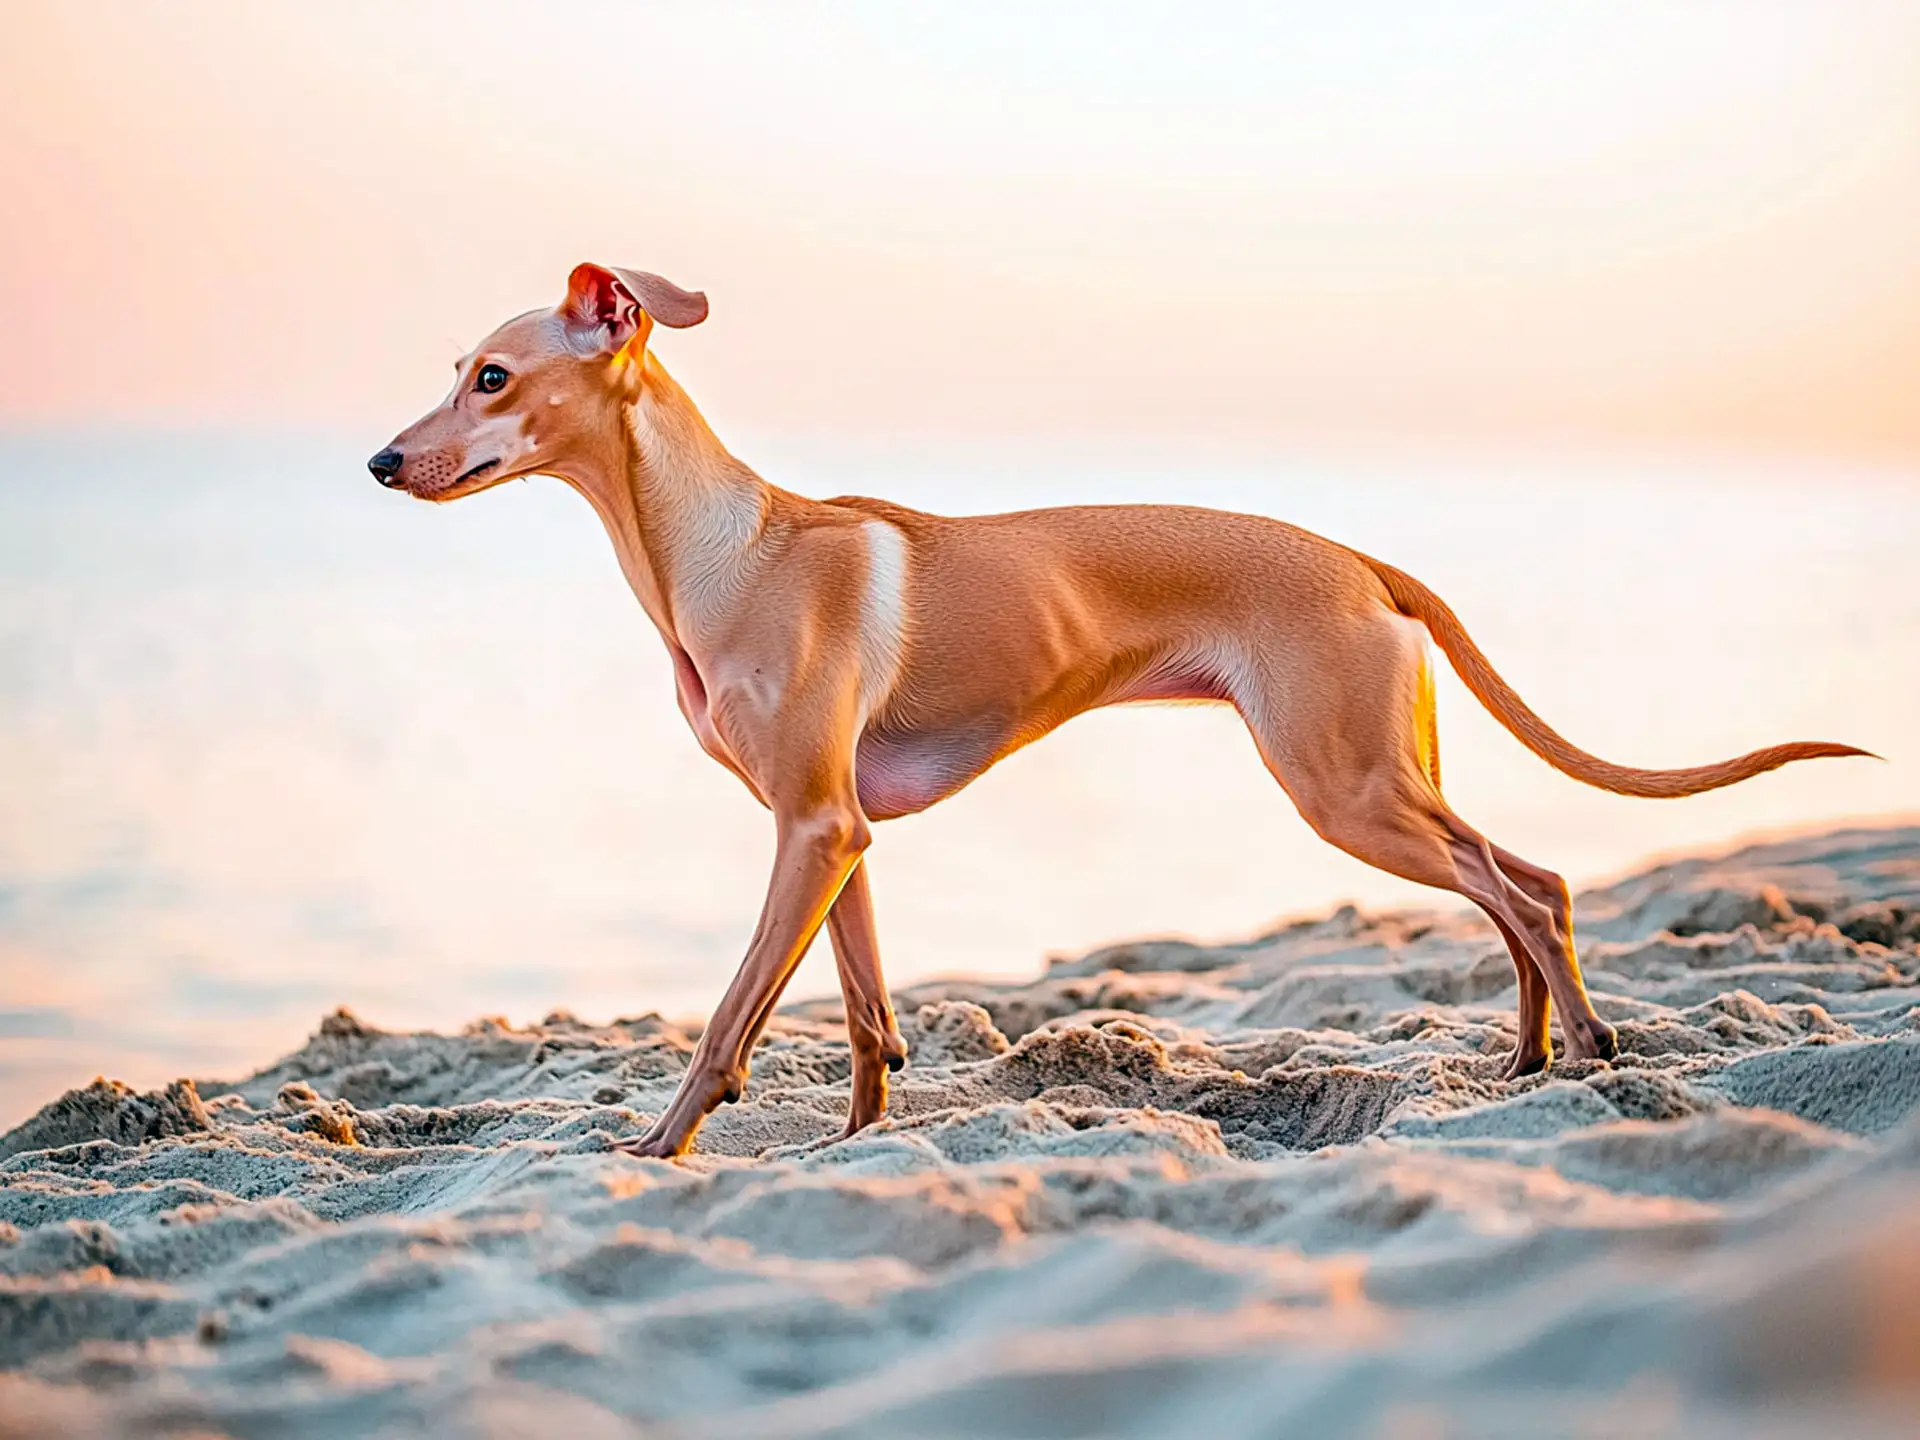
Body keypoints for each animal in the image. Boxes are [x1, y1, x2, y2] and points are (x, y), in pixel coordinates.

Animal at [366, 263, 1866, 1159]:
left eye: (492, 377)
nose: (380, 462)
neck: (726, 547)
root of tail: (1360, 560)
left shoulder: (809, 828)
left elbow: (731, 1018)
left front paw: (659, 1147)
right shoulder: (836, 832)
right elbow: (862, 1014)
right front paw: (856, 1145)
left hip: (1347, 791)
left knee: (1529, 886)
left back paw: (1590, 1054)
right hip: (1386, 779)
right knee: (1526, 882)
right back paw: (1535, 1054)